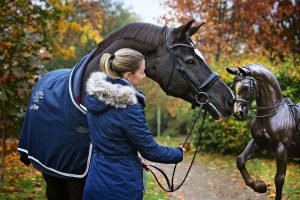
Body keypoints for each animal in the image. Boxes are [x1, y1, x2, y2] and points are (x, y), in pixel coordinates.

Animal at [227, 64, 300, 200]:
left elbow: (279, 179)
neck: (271, 115)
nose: (238, 113)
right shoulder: (257, 143)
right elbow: (240, 160)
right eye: (233, 86)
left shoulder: (281, 149)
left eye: (246, 87)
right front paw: (260, 186)